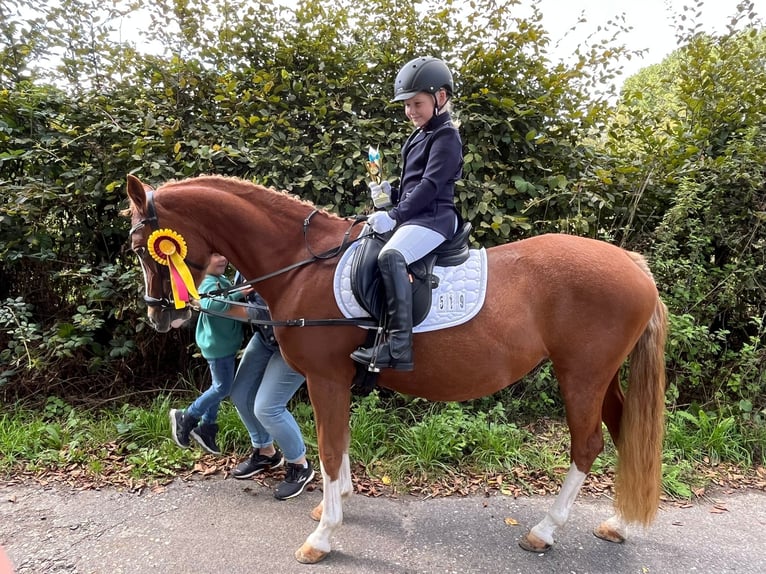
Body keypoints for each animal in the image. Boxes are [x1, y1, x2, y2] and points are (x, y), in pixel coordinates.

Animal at [124, 173, 664, 564]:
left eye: (141, 245)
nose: (159, 315)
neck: (302, 265)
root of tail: (634, 265)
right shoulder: (334, 381)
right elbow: (338, 445)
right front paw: (335, 502)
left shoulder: (324, 379)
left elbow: (329, 447)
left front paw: (323, 535)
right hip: (601, 378)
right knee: (624, 431)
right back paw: (618, 525)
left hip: (581, 376)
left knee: (588, 445)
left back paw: (544, 531)